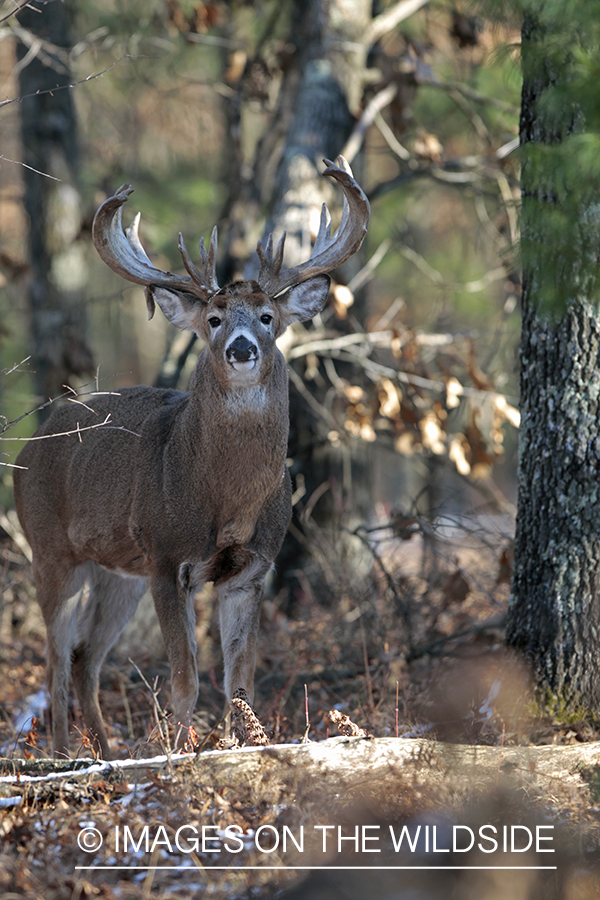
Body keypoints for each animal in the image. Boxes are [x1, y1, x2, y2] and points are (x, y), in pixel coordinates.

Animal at [12, 156, 370, 760]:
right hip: (51, 548)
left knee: (84, 657)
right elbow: (185, 675)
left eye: (268, 316)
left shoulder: (252, 568)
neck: (225, 502)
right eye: (214, 319)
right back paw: (64, 755)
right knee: (55, 660)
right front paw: (181, 749)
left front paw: (238, 744)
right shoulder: (165, 558)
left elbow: (239, 677)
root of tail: (30, 446)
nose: (241, 348)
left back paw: (104, 752)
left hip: (117, 571)